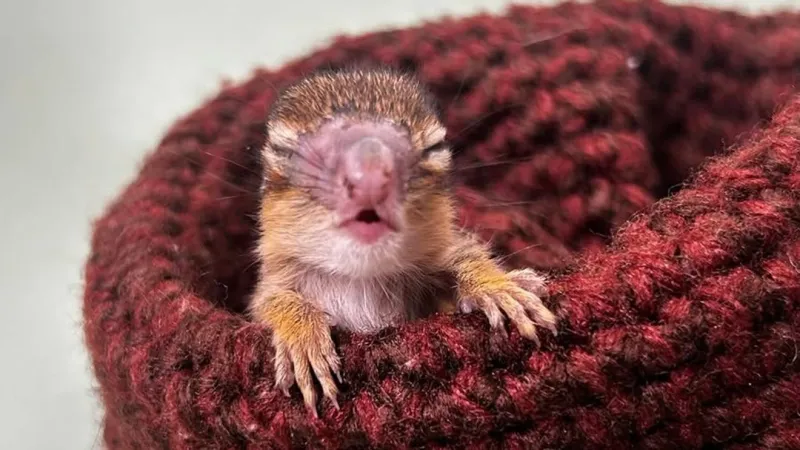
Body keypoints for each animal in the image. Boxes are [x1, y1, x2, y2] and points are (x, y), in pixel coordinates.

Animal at [248, 66, 557, 417]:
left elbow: (465, 256)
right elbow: (270, 300)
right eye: (283, 150)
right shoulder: (274, 280)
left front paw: (497, 287)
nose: (370, 174)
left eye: (435, 147)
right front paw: (303, 338)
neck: (363, 281)